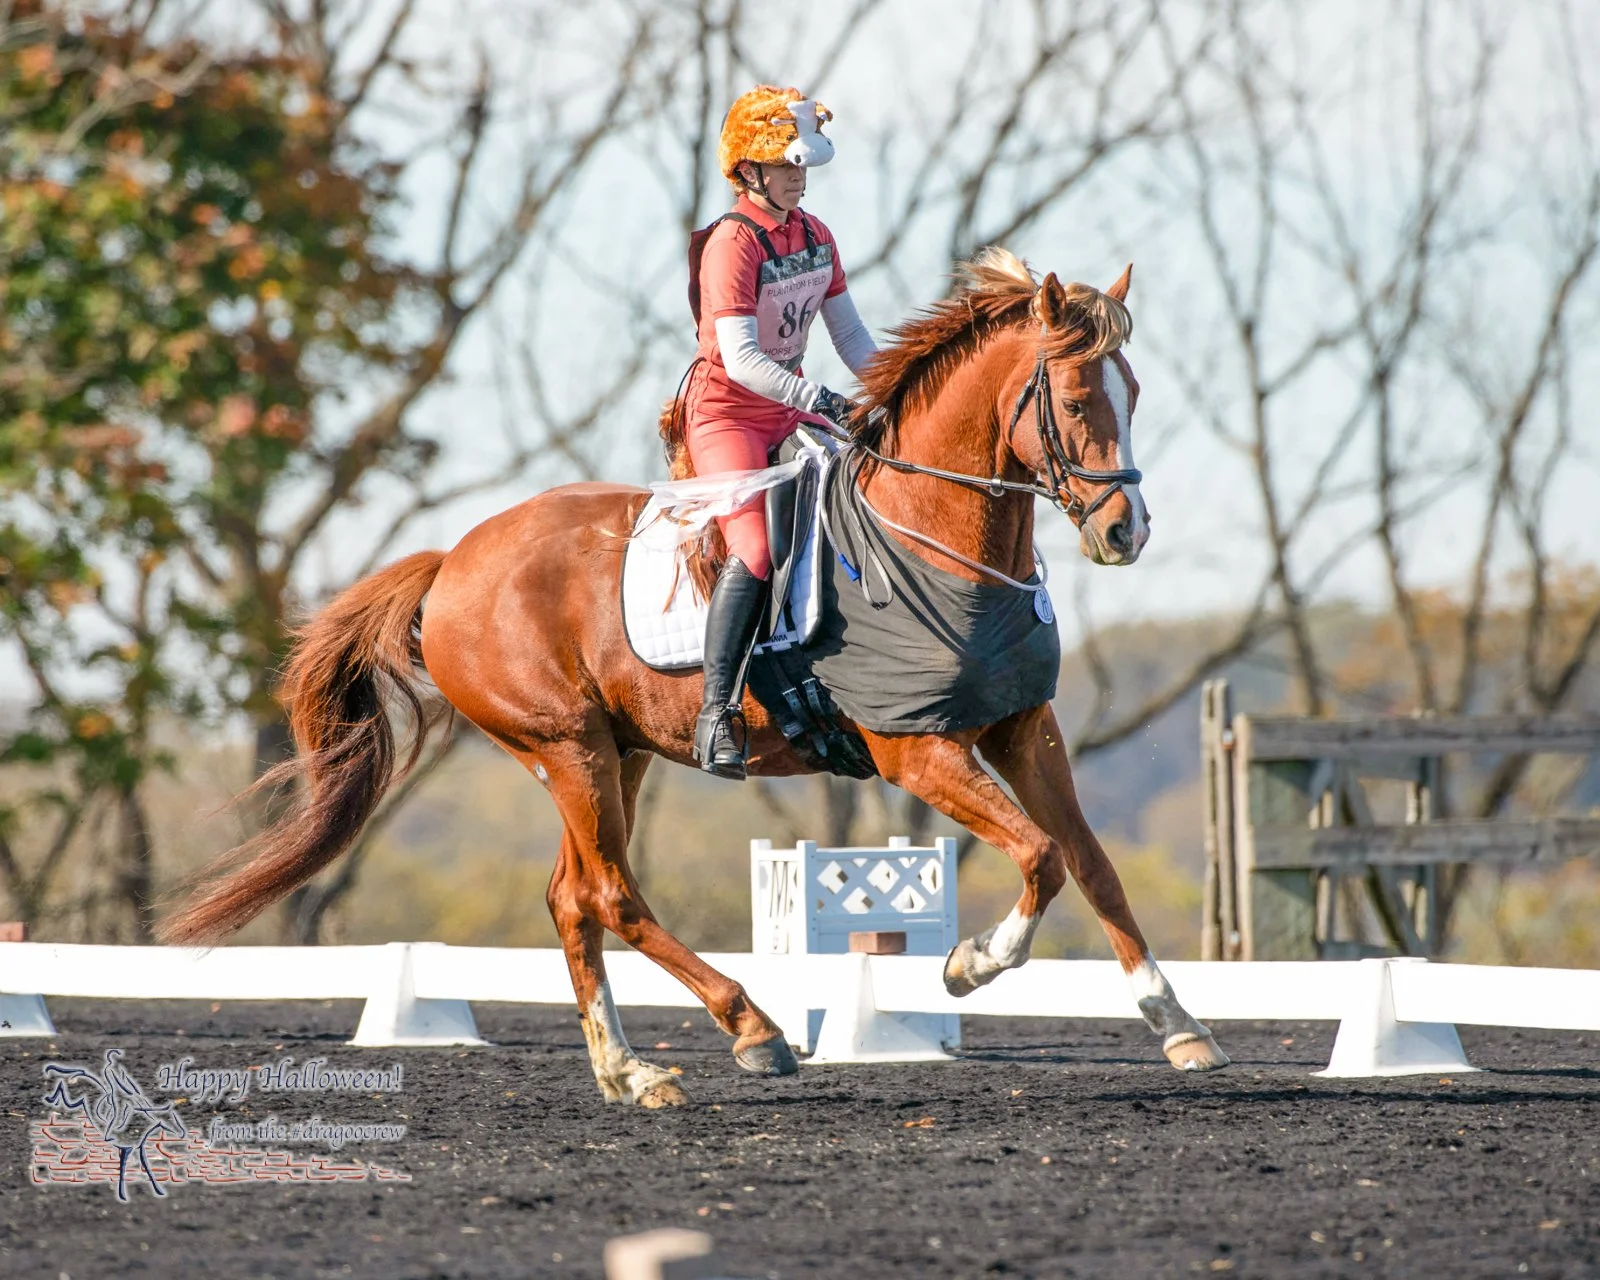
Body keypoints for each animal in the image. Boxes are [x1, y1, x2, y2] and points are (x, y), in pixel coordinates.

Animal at [160, 248, 1230, 1106]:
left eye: (1136, 393)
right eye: (1081, 400)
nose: (1125, 533)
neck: (935, 542)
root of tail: (453, 560)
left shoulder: (1021, 728)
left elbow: (1090, 862)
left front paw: (1178, 1023)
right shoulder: (915, 751)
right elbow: (1039, 857)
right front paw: (970, 965)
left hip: (614, 753)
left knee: (573, 898)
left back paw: (630, 1072)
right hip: (566, 747)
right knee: (611, 895)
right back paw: (750, 1029)